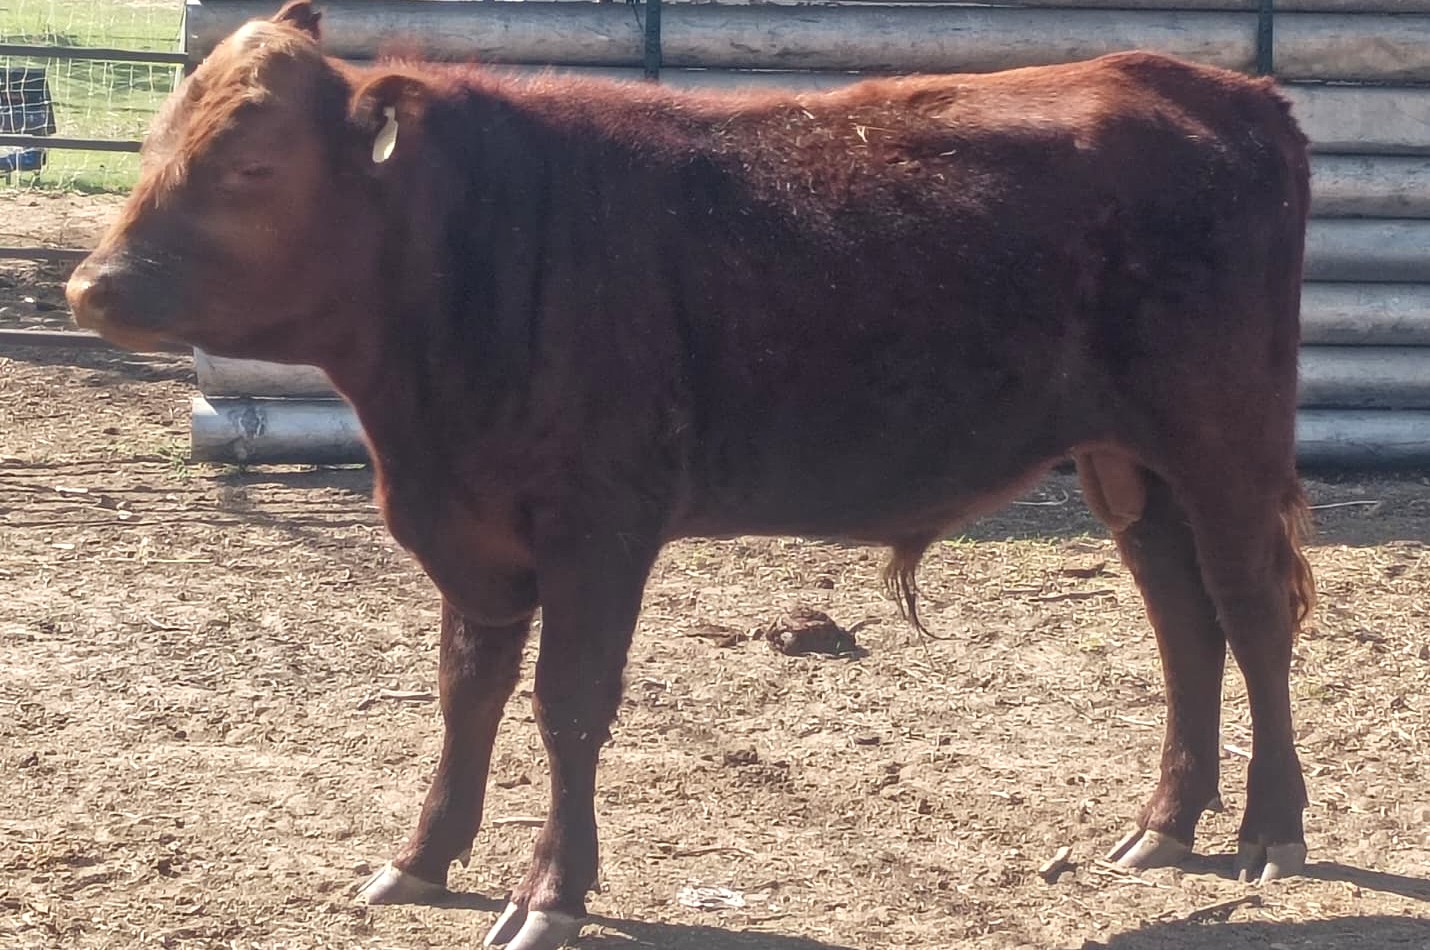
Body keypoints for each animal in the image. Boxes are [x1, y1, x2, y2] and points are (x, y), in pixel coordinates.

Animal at [67, 3, 1316, 948]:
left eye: (253, 162)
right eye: (158, 140)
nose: (91, 285)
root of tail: (1220, 90)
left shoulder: (598, 526)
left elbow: (566, 703)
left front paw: (549, 892)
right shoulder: (471, 532)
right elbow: (464, 690)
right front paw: (420, 857)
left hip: (1222, 433)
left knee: (1250, 609)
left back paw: (1269, 827)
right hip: (1127, 459)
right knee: (1181, 620)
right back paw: (1164, 823)